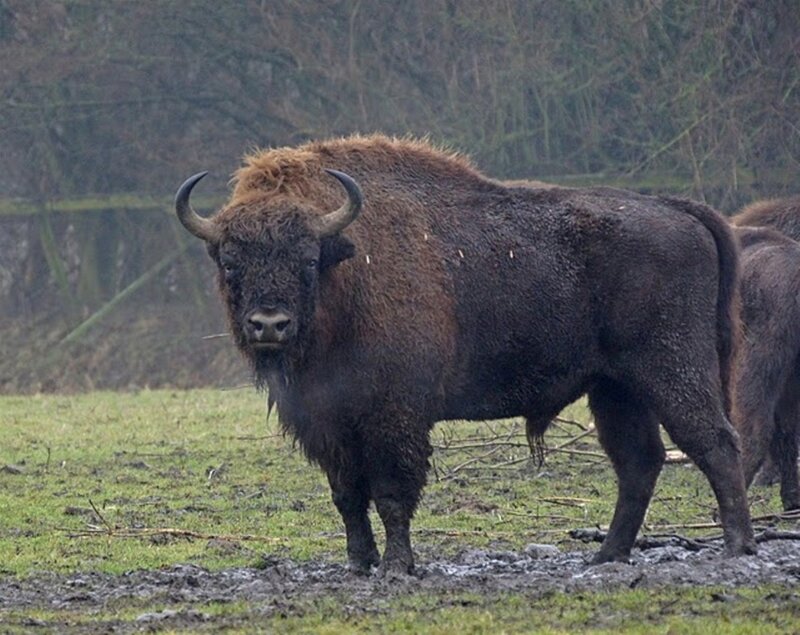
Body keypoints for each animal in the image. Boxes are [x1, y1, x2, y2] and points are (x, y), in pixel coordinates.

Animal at [174, 134, 755, 574]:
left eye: (307, 260)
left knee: (716, 442)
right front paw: (359, 564)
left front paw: (397, 566)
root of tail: (678, 210)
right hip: (615, 388)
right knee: (640, 462)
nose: (269, 325)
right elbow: (347, 496)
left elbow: (391, 491)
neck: (347, 271)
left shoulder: (395, 416)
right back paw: (606, 557)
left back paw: (737, 547)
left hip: (672, 369)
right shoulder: (327, 423)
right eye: (230, 262)